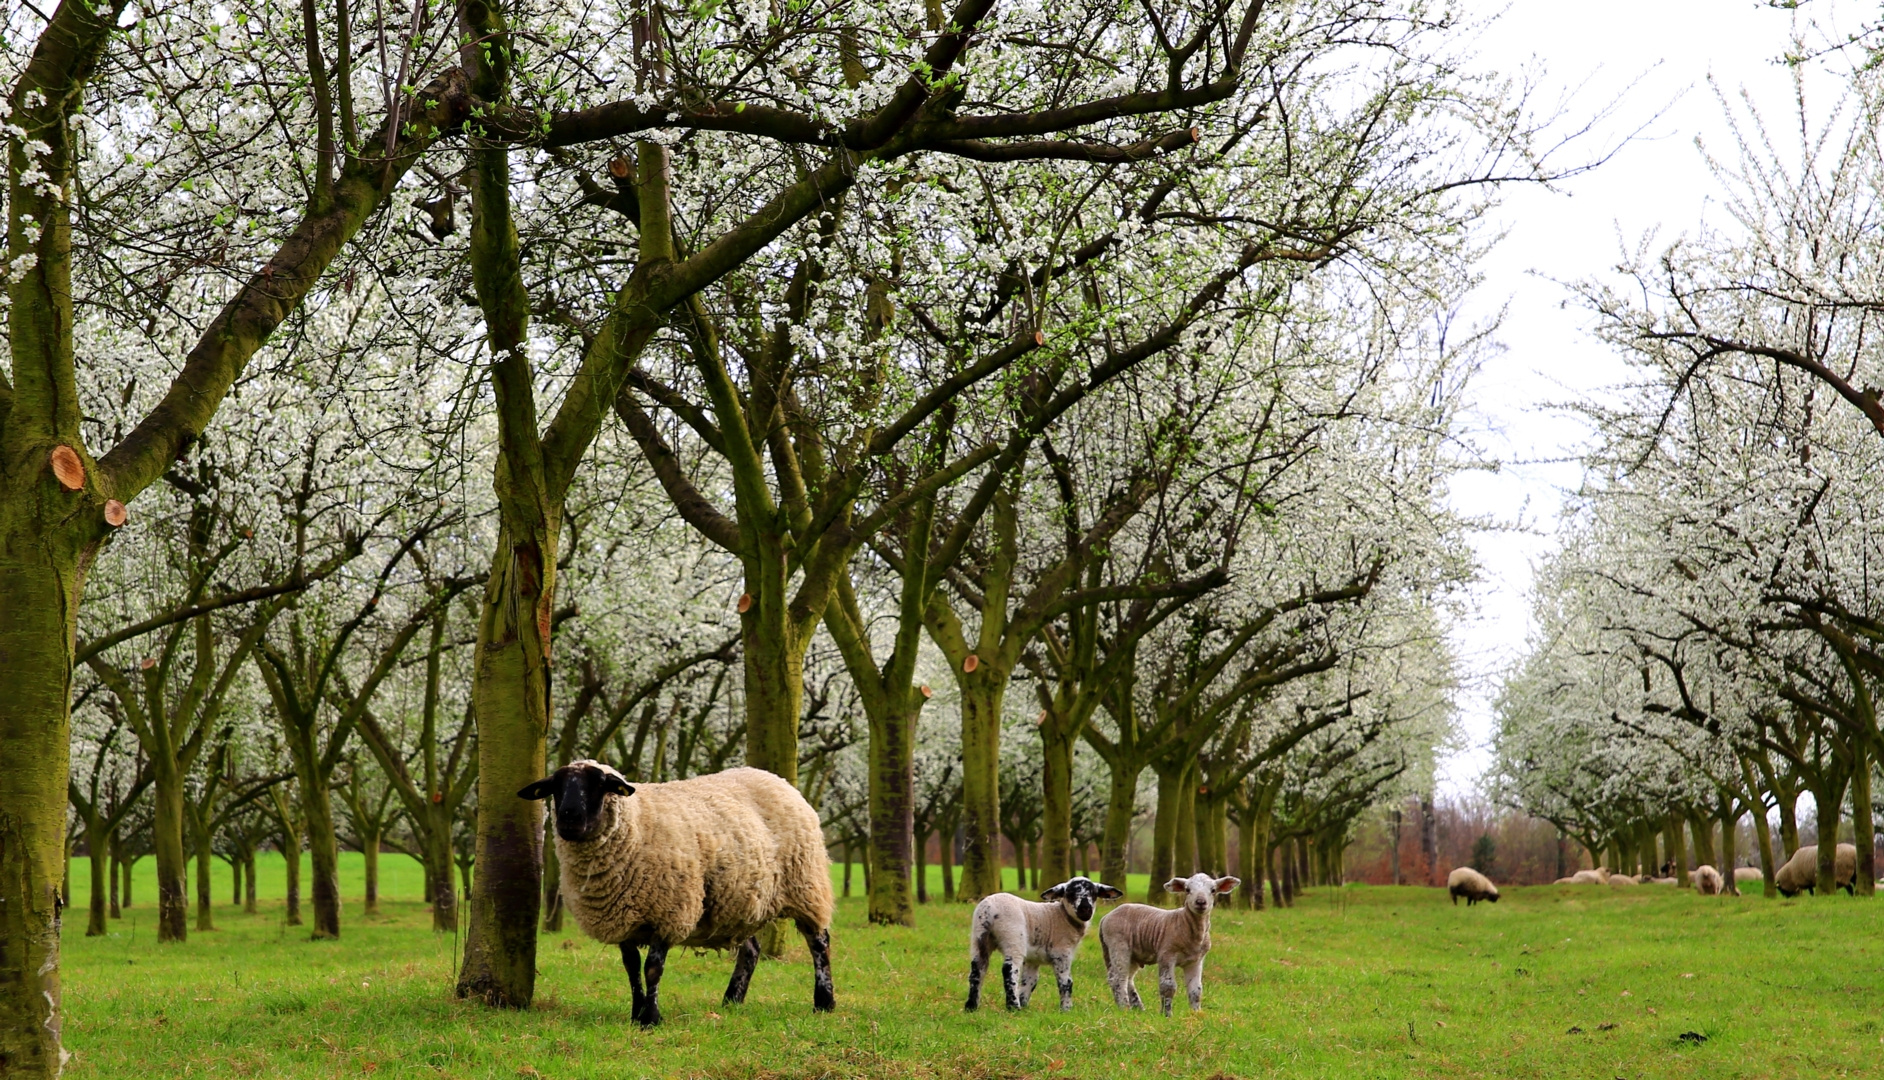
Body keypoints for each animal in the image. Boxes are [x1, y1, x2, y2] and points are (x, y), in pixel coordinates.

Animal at [519, 761, 836, 1025]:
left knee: (818, 942)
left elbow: (652, 968)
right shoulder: (623, 918)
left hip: (806, 884)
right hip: (739, 901)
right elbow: (631, 967)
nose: (568, 819)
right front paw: (636, 1013)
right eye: (556, 787)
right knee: (751, 949)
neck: (637, 825)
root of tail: (775, 779)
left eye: (598, 784)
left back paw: (824, 1002)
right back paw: (732, 1000)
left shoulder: (668, 911)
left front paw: (651, 1018)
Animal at [1100, 870, 1243, 1017]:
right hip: (1118, 944)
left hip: (1133, 954)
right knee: (1118, 979)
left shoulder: (1196, 961)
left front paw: (1196, 1014)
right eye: (1187, 890)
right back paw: (1124, 1008)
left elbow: (1196, 990)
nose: (1200, 902)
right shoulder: (1166, 954)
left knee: (1126, 978)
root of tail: (1106, 917)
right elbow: (1167, 986)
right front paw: (1166, 1014)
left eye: (1213, 890)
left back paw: (1138, 1008)